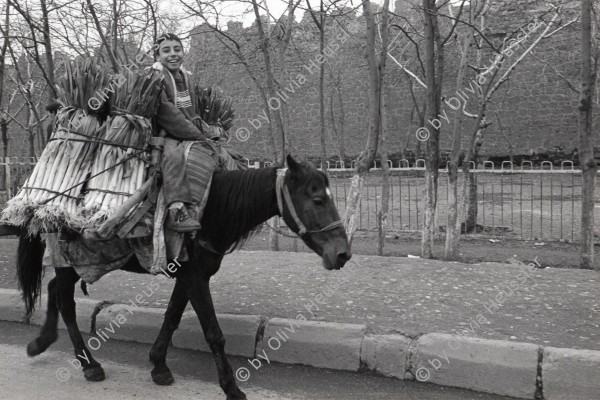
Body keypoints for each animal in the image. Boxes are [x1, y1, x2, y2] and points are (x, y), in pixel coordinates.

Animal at [16, 155, 352, 400]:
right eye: (317, 199)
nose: (343, 254)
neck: (208, 212)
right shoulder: (195, 278)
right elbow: (213, 333)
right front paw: (232, 387)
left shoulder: (190, 275)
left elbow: (172, 317)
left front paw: (159, 366)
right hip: (68, 261)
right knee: (66, 302)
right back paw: (89, 364)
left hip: (75, 265)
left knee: (54, 289)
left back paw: (42, 342)